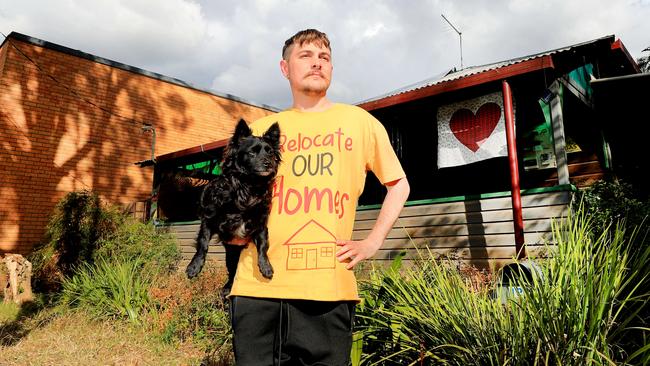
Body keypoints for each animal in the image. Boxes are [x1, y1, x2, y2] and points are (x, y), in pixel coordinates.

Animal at [185, 119, 280, 298]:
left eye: (270, 153)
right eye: (252, 153)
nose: (268, 163)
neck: (248, 186)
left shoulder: (260, 224)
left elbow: (263, 246)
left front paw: (266, 266)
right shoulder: (208, 220)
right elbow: (203, 244)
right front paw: (194, 267)